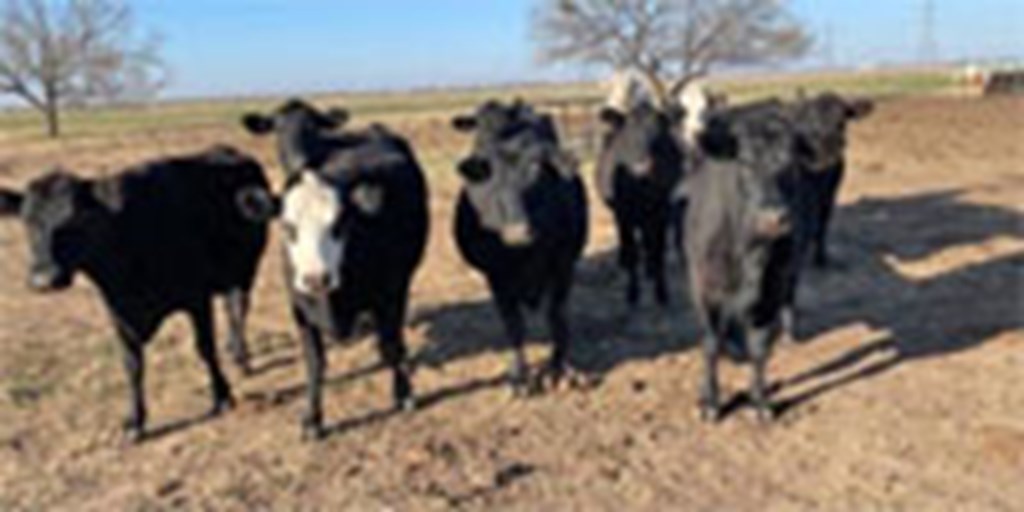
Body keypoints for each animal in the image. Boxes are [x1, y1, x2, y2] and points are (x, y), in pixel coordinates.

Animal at [0, 146, 270, 441]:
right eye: (27, 220)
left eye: (78, 218)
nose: (44, 279)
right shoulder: (118, 311)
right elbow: (132, 363)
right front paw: (135, 422)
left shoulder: (197, 298)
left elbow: (204, 348)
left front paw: (221, 396)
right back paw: (233, 348)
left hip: (247, 267)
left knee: (239, 308)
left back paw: (242, 357)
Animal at [240, 100, 428, 440]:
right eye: (287, 227)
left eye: (340, 224)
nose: (316, 278)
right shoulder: (300, 309)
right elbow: (315, 363)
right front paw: (313, 419)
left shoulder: (390, 293)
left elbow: (393, 345)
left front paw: (404, 393)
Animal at [450, 100, 588, 395]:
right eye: (487, 168)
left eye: (536, 168)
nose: (517, 233)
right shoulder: (495, 276)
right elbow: (514, 326)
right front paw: (519, 375)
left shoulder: (563, 265)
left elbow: (557, 316)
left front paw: (560, 368)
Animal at [597, 102, 685, 306]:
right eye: (626, 136)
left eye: (657, 136)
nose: (641, 168)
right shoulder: (623, 215)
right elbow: (632, 252)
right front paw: (632, 293)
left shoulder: (662, 212)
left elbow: (659, 250)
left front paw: (661, 292)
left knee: (648, 240)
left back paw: (649, 268)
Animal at [681, 107, 803, 422]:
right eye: (745, 162)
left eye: (792, 163)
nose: (774, 218)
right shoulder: (705, 288)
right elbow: (710, 343)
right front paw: (710, 401)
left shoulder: (773, 289)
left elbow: (759, 348)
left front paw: (760, 401)